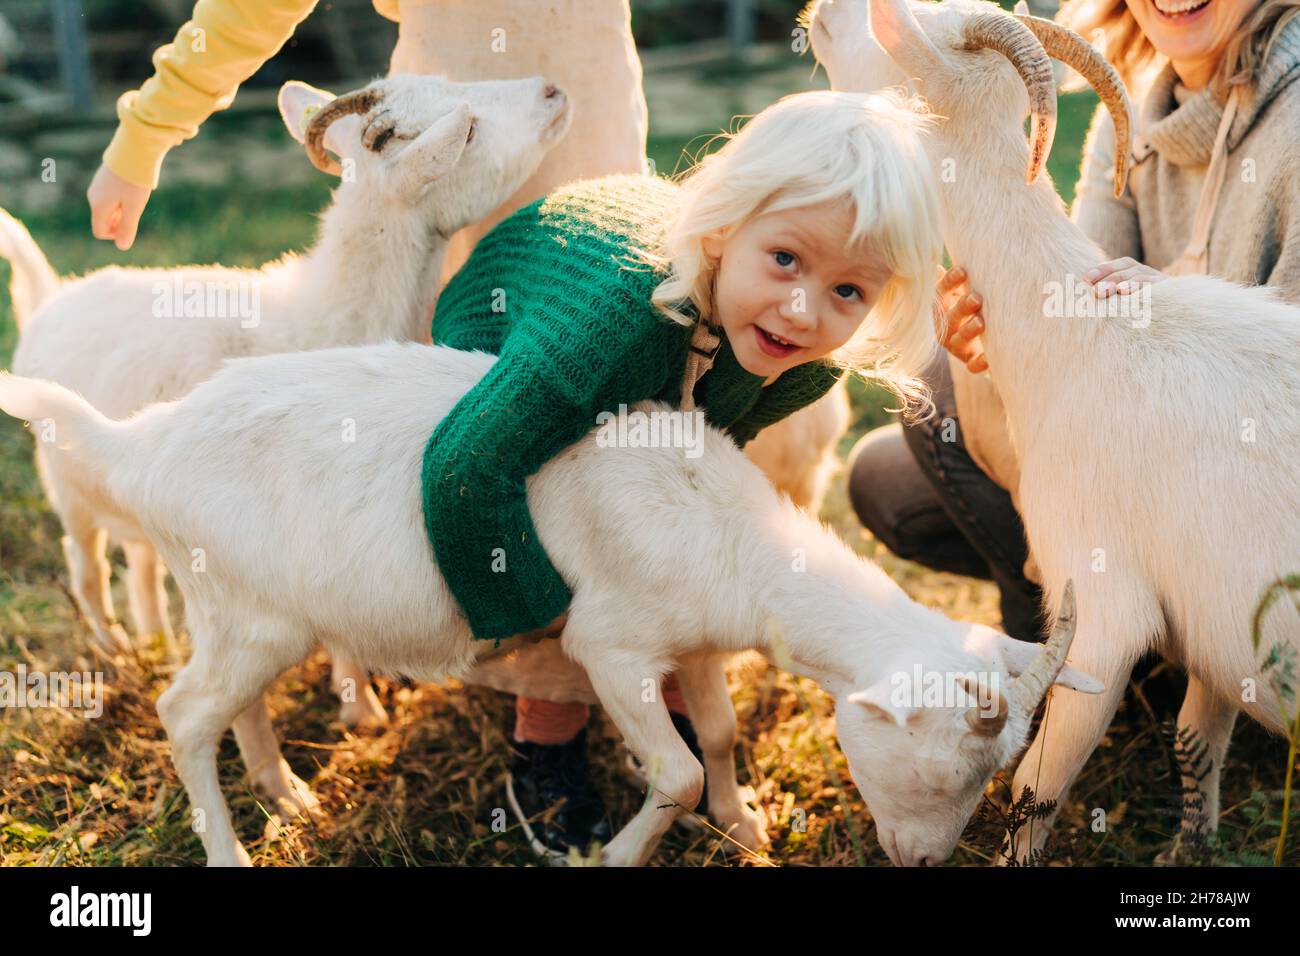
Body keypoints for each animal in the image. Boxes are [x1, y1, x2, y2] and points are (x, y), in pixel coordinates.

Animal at [1, 72, 569, 723]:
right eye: (466, 131)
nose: (551, 89)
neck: (320, 313)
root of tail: (50, 296)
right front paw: (361, 708)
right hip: (65, 487)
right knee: (86, 562)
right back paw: (114, 649)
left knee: (140, 564)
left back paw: (158, 643)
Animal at [811, 0, 1300, 863]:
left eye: (893, 32)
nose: (817, 12)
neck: (1082, 338)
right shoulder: (1217, 638)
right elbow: (1194, 743)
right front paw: (1188, 852)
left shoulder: (1102, 614)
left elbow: (1034, 787)